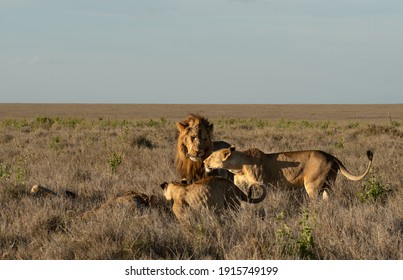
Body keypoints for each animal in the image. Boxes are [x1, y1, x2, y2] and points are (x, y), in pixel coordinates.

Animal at [204, 147, 374, 199]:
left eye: (211, 157)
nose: (204, 162)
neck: (239, 166)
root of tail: (331, 156)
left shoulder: (261, 185)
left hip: (313, 185)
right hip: (329, 183)